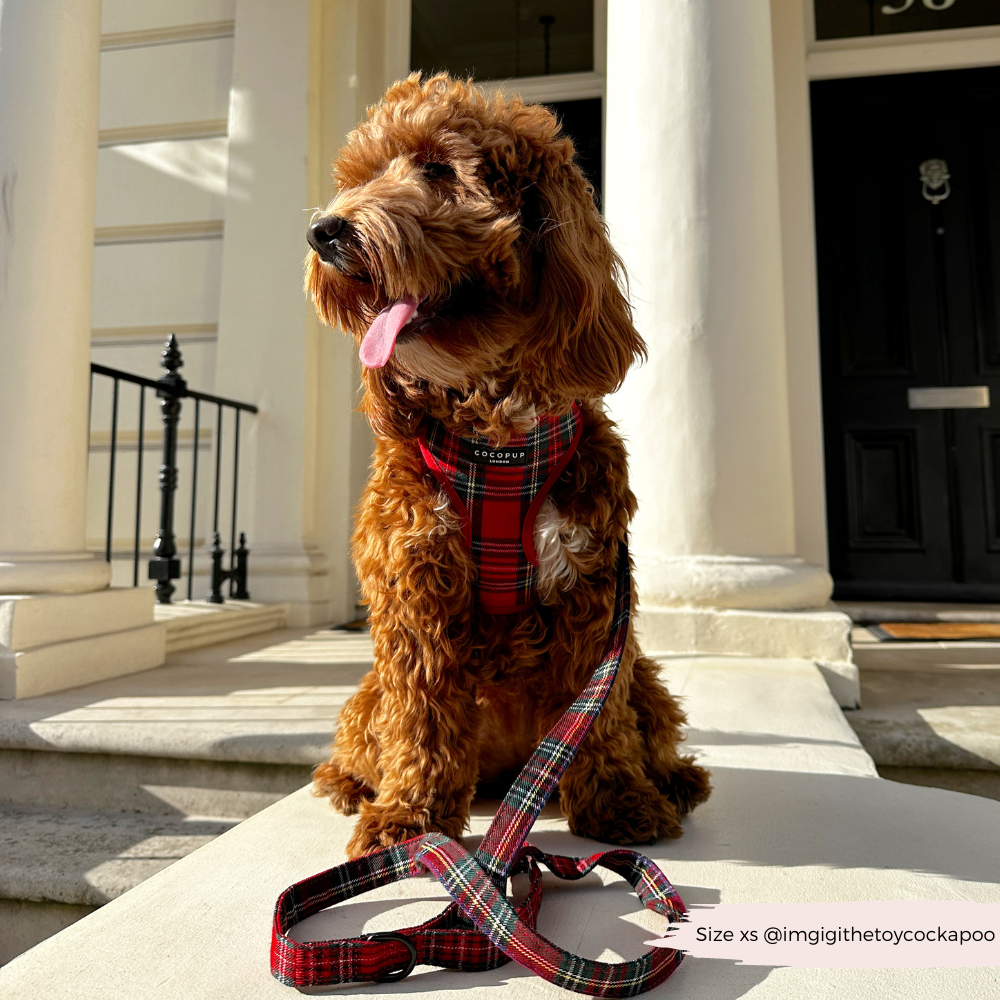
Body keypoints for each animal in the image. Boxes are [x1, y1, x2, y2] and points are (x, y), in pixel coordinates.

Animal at [304, 76, 712, 860]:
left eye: (438, 169)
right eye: (360, 176)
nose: (325, 232)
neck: (497, 441)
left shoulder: (593, 590)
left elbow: (598, 720)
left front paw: (620, 802)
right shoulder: (413, 586)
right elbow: (421, 718)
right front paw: (409, 822)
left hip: (644, 673)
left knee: (643, 720)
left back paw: (676, 779)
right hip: (368, 695)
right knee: (374, 736)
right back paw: (352, 785)